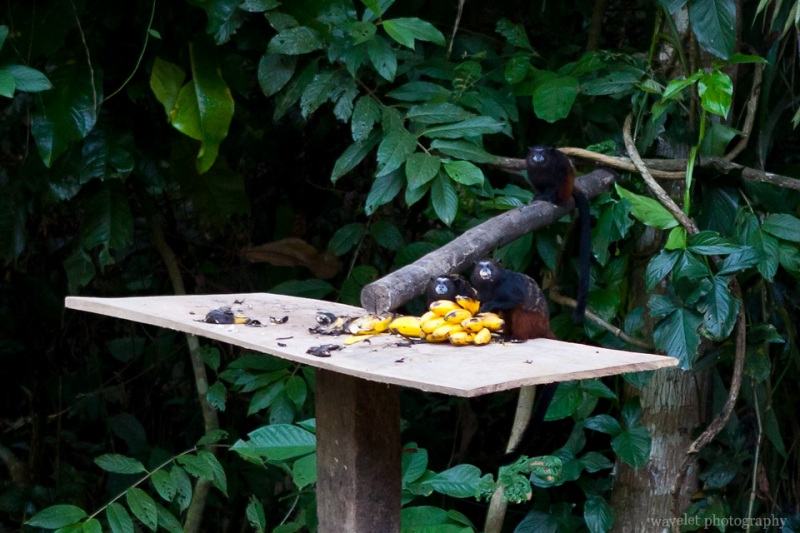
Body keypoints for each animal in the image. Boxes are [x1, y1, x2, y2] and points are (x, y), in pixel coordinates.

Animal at [470, 258, 557, 464]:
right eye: (481, 266)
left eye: (489, 266)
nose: (485, 270)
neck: (491, 285)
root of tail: (544, 327)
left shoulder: (508, 286)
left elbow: (514, 299)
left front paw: (489, 306)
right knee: (506, 314)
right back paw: (506, 334)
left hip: (535, 323)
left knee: (519, 311)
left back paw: (519, 337)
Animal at [526, 146, 591, 323]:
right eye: (535, 153)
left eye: (543, 153)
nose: (538, 157)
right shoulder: (531, 170)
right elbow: (538, 184)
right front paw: (538, 195)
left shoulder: (558, 166)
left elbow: (556, 182)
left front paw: (547, 197)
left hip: (566, 188)